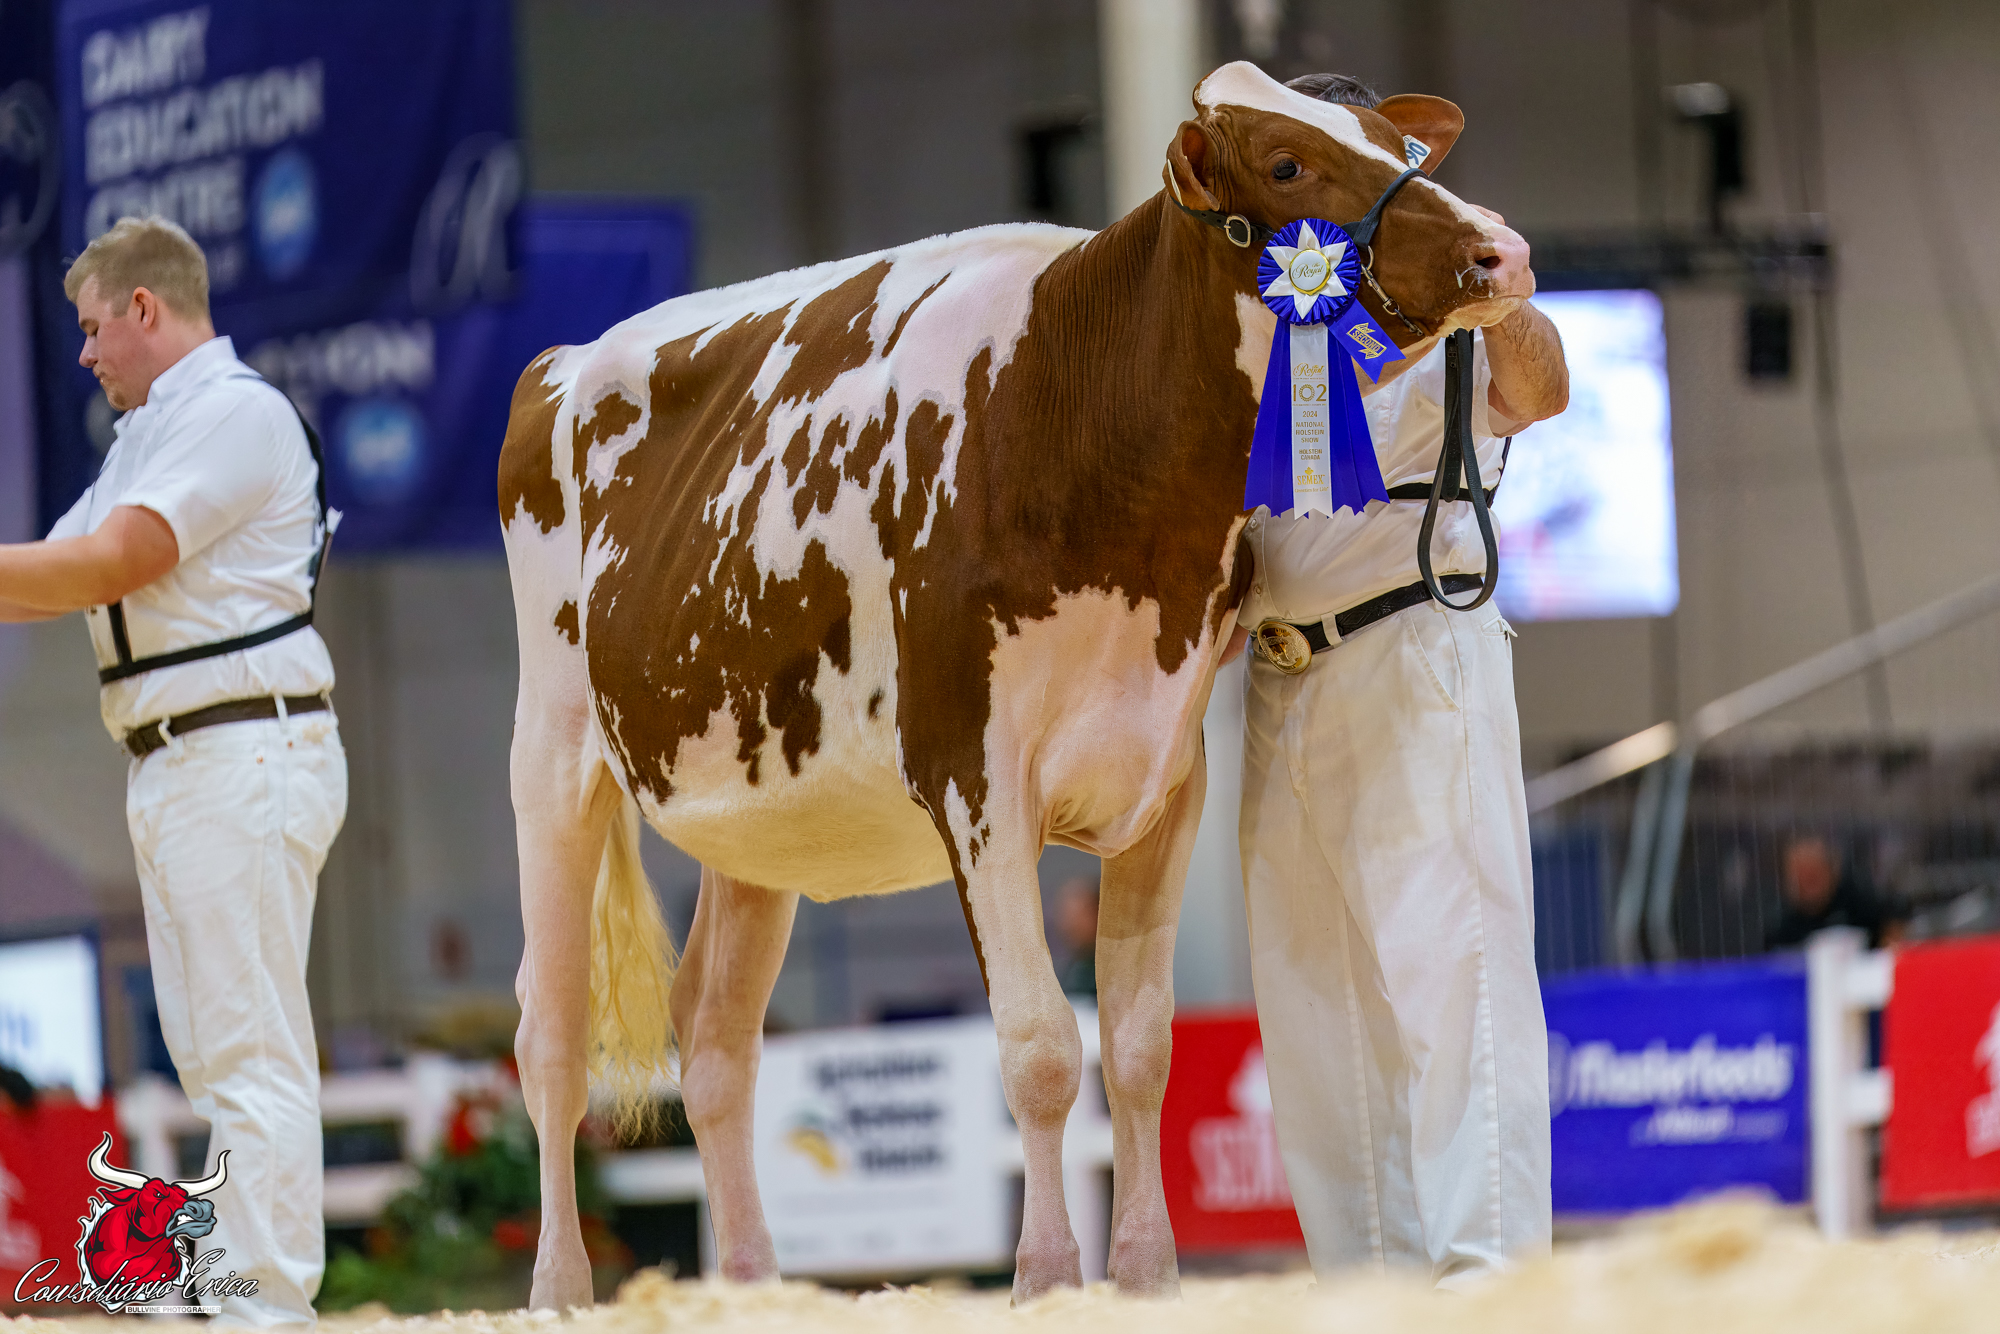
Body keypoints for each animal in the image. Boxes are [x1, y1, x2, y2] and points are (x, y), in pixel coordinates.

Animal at [499, 61, 1531, 1306]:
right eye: (1287, 164)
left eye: (1398, 144)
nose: (1495, 252)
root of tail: (558, 361)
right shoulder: (971, 775)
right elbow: (1040, 1045)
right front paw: (1045, 1272)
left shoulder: (1165, 774)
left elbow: (1135, 1045)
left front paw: (1144, 1272)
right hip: (552, 750)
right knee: (549, 1041)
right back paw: (558, 1288)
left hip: (758, 807)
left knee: (713, 1041)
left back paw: (749, 1283)